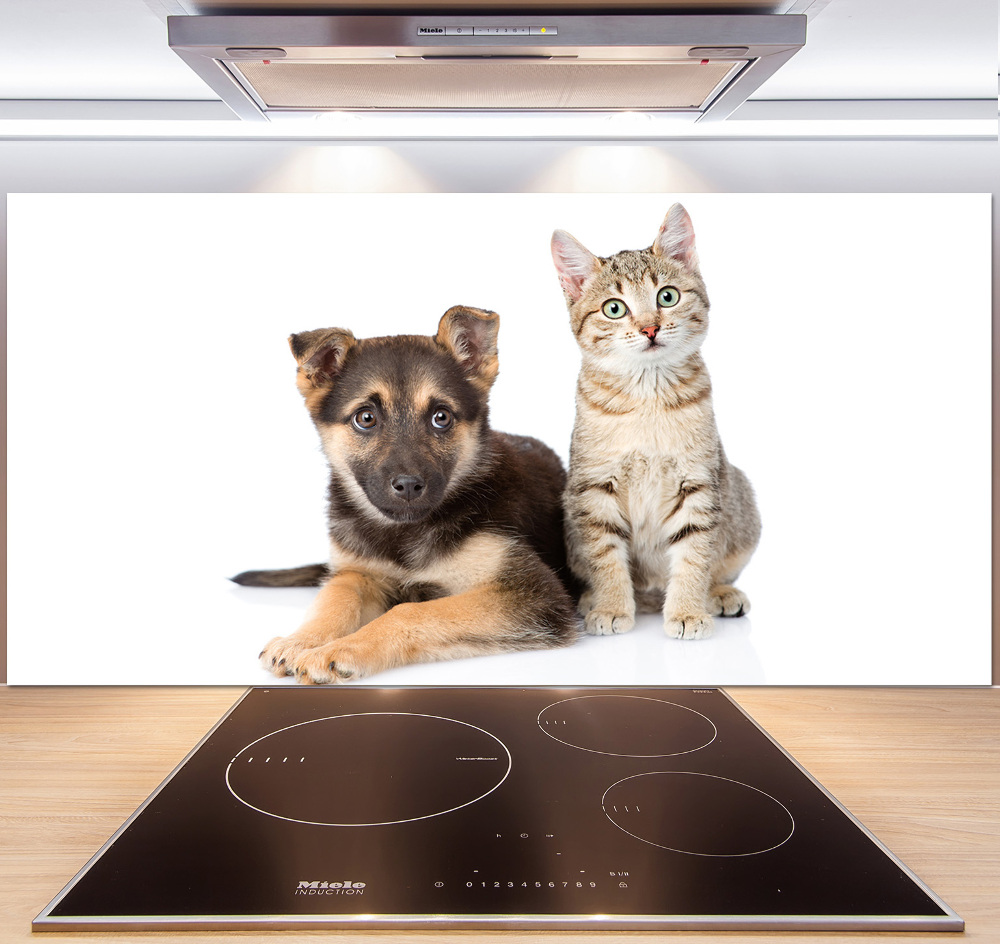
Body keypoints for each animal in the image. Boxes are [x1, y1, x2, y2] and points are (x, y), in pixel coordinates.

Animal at [234, 306, 580, 684]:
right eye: (365, 418)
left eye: (441, 417)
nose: (409, 485)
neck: (403, 534)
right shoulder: (358, 571)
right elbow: (336, 596)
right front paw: (302, 640)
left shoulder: (531, 592)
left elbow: (409, 611)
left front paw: (341, 649)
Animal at [556, 202, 756, 636]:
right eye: (614, 308)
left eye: (668, 296)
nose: (650, 327)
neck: (647, 397)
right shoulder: (594, 487)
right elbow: (605, 557)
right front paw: (611, 606)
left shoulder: (699, 483)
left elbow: (694, 555)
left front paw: (687, 611)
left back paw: (720, 594)